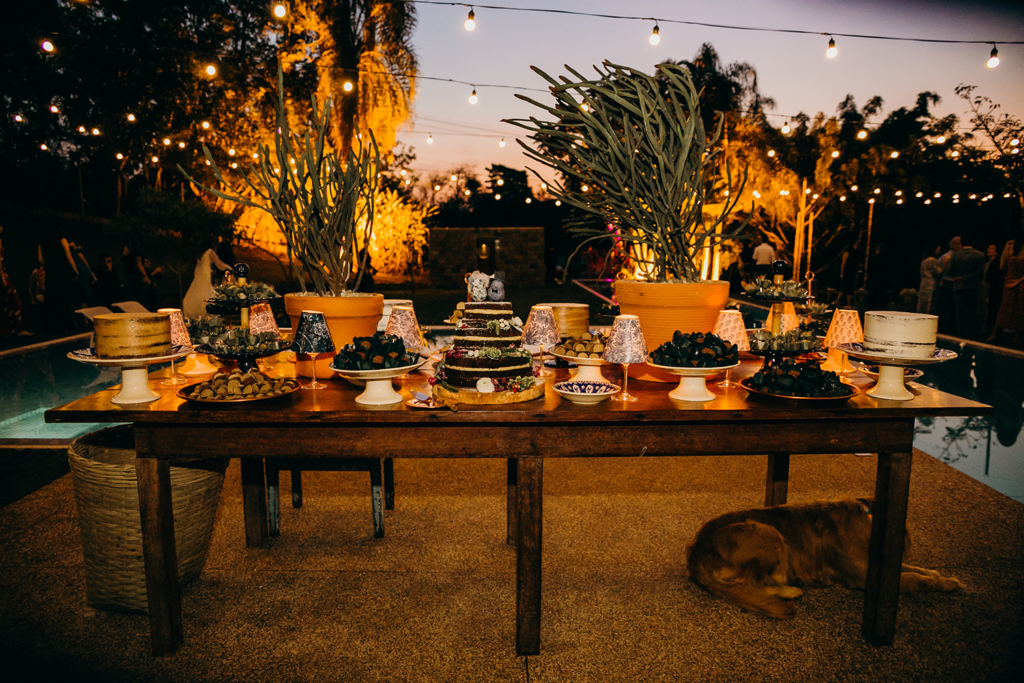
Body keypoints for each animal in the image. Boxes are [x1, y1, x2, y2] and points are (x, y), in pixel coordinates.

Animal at [684, 497, 962, 618]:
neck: (868, 517)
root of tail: (695, 552)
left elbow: (917, 570)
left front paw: (942, 577)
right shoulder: (864, 576)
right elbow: (916, 578)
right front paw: (943, 583)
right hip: (767, 532)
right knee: (754, 584)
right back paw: (789, 591)